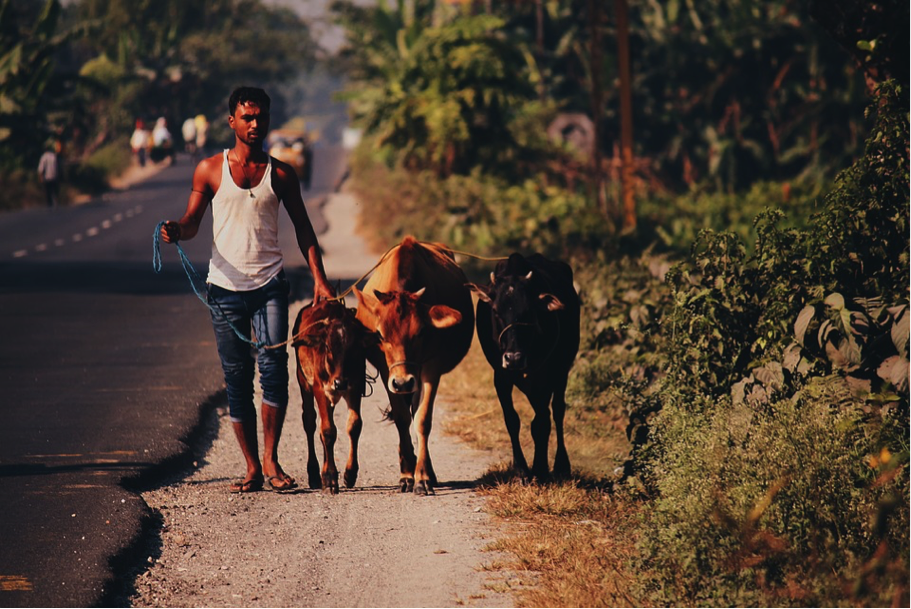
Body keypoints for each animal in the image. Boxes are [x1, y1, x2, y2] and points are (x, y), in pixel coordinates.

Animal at [292, 300, 370, 494]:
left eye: (354, 347)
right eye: (327, 346)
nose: (339, 383)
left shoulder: (355, 388)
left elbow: (354, 426)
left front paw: (350, 473)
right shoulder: (321, 390)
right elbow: (328, 431)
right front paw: (329, 478)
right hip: (303, 381)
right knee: (310, 422)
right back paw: (314, 473)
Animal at [352, 236, 474, 494]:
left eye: (420, 332)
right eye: (380, 334)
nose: (402, 382)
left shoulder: (430, 369)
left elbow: (422, 419)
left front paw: (423, 477)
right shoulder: (387, 370)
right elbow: (401, 419)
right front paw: (407, 474)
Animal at [474, 252, 580, 480]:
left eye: (529, 311)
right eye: (496, 311)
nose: (513, 358)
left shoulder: (545, 376)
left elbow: (541, 423)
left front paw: (540, 468)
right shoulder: (501, 377)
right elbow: (512, 420)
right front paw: (521, 469)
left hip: (562, 371)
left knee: (557, 411)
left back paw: (561, 465)